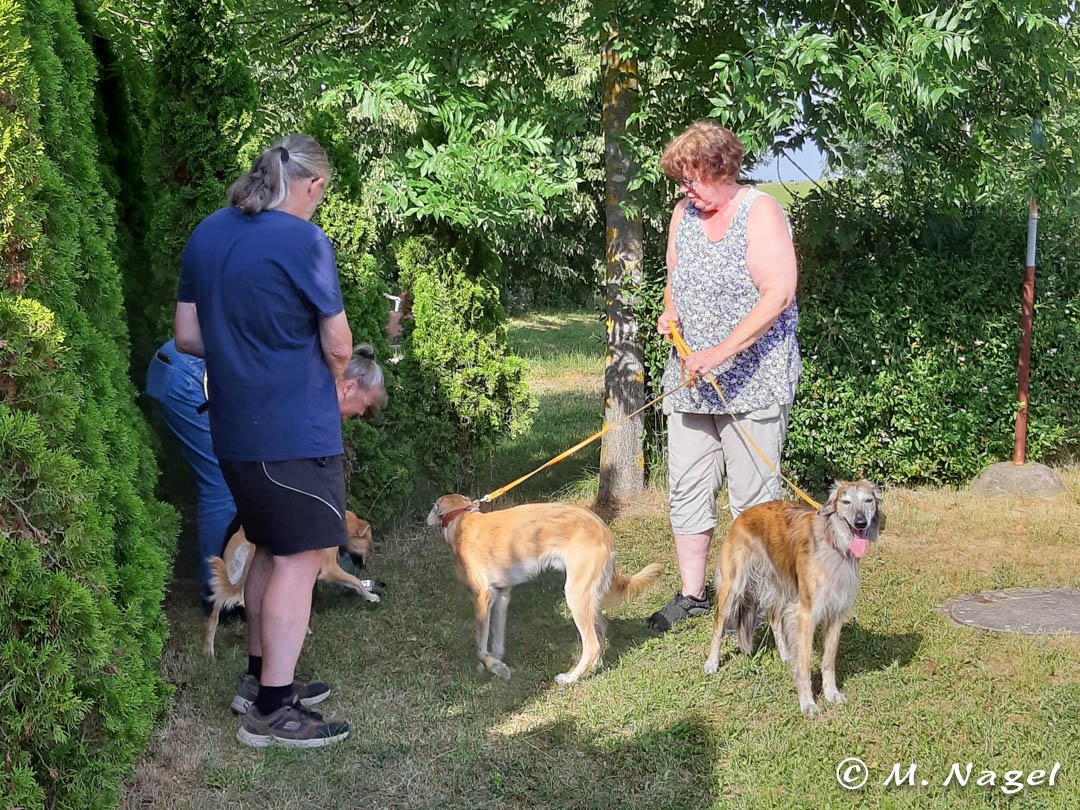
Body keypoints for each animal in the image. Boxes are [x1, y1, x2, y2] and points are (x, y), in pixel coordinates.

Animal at [203, 510, 378, 657]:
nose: (364, 566)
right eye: (369, 544)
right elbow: (355, 581)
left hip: (229, 575)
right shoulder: (329, 569)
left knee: (214, 616)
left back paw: (209, 652)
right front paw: (370, 596)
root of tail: (244, 538)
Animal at [427, 494, 664, 684]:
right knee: (601, 630)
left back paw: (570, 678)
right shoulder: (501, 594)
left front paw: (492, 666)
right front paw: (498, 662)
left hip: (575, 595)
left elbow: (480, 645)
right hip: (588, 596)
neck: (462, 519)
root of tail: (604, 530)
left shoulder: (483, 596)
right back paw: (594, 667)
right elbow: (496, 638)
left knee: (592, 644)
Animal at [703, 480, 882, 715]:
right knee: (719, 626)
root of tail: (743, 515)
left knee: (774, 619)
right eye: (846, 502)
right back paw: (711, 663)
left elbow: (828, 660)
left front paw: (831, 693)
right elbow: (804, 662)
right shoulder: (806, 613)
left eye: (868, 500)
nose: (860, 523)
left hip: (781, 585)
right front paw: (807, 702)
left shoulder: (836, 613)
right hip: (733, 588)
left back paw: (786, 653)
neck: (832, 542)